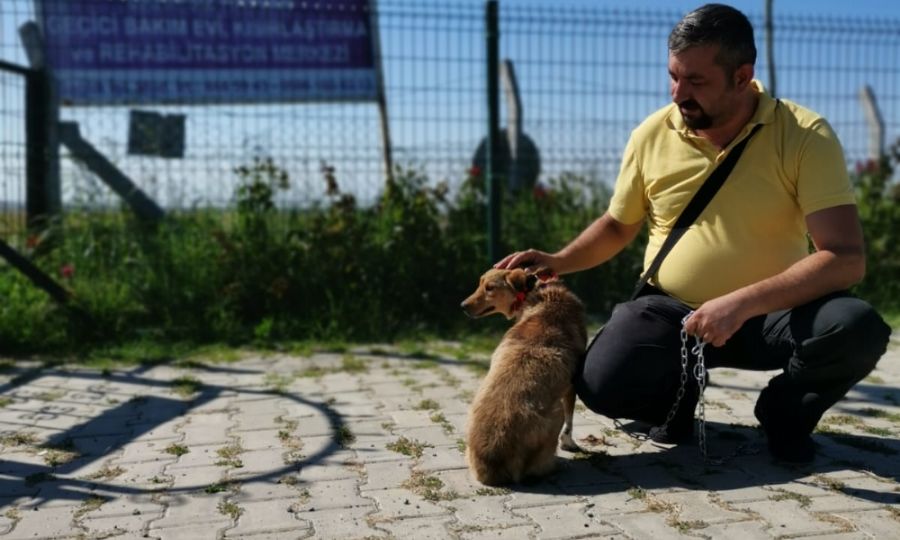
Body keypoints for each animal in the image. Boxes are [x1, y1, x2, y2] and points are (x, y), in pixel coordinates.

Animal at [460, 268, 588, 484]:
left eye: (489, 287)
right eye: (480, 284)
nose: (462, 306)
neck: (539, 295)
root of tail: (493, 457)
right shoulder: (571, 386)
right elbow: (570, 421)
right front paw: (569, 443)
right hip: (556, 413)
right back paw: (557, 466)